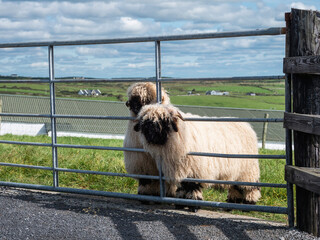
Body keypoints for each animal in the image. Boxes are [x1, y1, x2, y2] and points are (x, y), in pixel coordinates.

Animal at [134, 103, 262, 206]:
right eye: (144, 122)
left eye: (164, 121)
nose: (150, 130)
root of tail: (247, 126)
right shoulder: (182, 169)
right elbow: (183, 187)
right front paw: (181, 202)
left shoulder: (194, 170)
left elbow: (192, 187)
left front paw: (193, 203)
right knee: (235, 186)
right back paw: (233, 201)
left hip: (248, 169)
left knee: (249, 186)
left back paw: (250, 202)